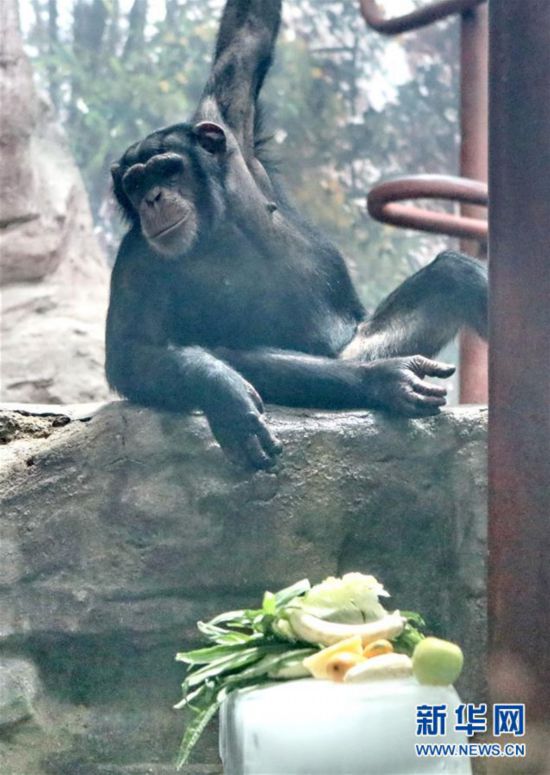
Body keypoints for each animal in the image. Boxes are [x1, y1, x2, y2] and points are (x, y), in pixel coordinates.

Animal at [106, 0, 488, 466]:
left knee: (455, 275)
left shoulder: (228, 124)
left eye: (166, 168)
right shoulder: (136, 258)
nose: (152, 198)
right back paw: (382, 381)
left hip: (356, 342)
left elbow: (248, 34)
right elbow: (131, 352)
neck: (214, 218)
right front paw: (221, 390)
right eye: (135, 183)